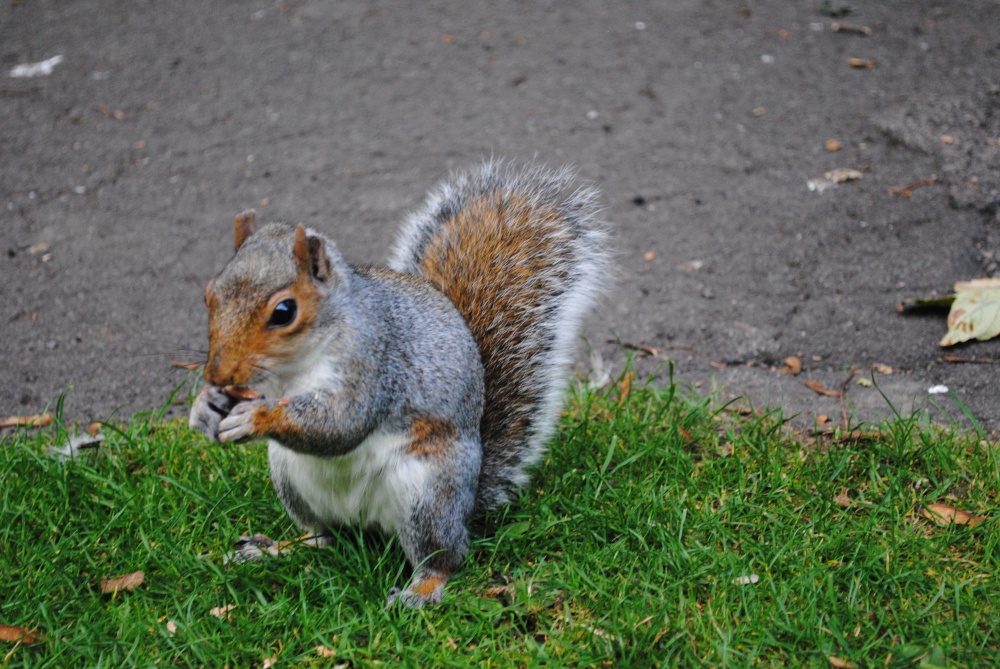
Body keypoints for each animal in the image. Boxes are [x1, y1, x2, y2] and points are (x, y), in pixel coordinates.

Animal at [189, 162, 610, 607]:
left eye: (284, 311)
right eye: (209, 294)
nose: (217, 374)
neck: (292, 369)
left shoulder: (375, 365)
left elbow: (341, 425)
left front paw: (256, 418)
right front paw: (205, 407)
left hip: (428, 494)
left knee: (444, 556)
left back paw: (420, 591)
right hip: (290, 479)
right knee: (324, 537)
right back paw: (272, 550)